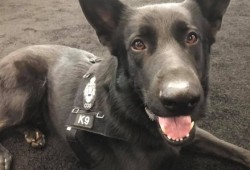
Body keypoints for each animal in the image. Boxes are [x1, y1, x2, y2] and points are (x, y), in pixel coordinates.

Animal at [0, 0, 250, 169]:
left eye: (192, 37)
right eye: (137, 44)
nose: (181, 100)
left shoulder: (193, 132)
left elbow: (235, 149)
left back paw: (32, 132)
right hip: (25, 94)